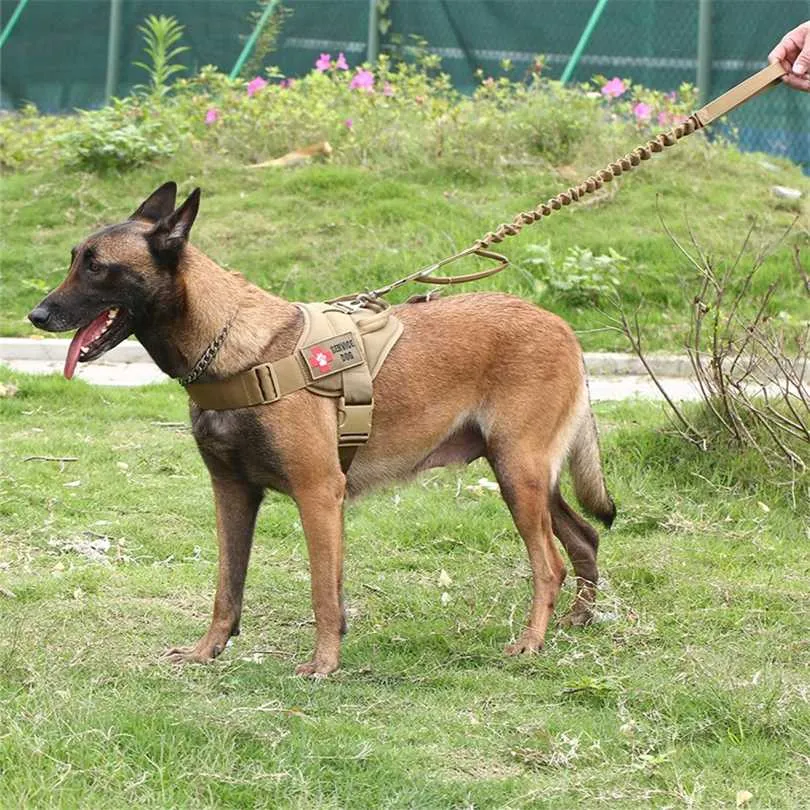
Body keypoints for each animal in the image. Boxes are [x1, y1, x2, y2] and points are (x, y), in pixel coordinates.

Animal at [28, 183, 616, 676]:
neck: (232, 346)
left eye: (98, 268)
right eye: (74, 260)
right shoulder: (232, 494)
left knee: (550, 564)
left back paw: (532, 642)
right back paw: (578, 621)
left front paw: (324, 665)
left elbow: (322, 593)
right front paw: (207, 651)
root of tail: (562, 327)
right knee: (584, 538)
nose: (37, 315)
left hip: (518, 474)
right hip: (525, 476)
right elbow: (227, 588)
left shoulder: (318, 495)